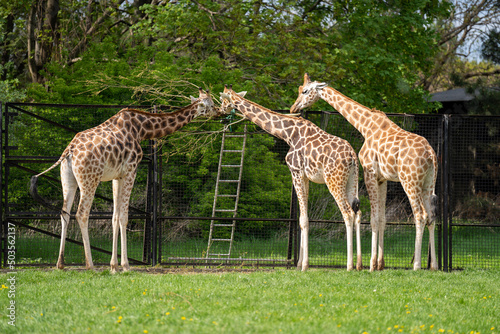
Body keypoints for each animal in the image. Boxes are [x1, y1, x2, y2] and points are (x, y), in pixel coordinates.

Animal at [30, 88, 218, 274]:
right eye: (210, 104)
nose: (219, 112)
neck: (142, 130)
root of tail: (69, 150)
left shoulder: (117, 176)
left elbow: (114, 217)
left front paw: (113, 266)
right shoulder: (130, 170)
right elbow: (124, 217)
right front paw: (126, 266)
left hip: (68, 179)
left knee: (64, 213)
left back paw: (60, 264)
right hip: (90, 179)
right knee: (82, 213)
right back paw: (91, 266)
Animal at [221, 84, 362, 272]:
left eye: (222, 100)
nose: (219, 112)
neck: (287, 133)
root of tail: (352, 156)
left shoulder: (295, 172)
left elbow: (303, 220)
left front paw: (304, 266)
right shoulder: (306, 177)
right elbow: (303, 219)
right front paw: (300, 263)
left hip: (334, 180)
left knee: (347, 213)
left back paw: (349, 265)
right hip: (352, 180)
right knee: (358, 211)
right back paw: (360, 264)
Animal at [290, 73, 438, 272]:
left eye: (305, 91)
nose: (293, 107)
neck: (366, 126)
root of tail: (430, 154)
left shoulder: (370, 173)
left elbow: (374, 219)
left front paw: (371, 266)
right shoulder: (383, 178)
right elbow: (382, 219)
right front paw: (380, 264)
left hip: (410, 180)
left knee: (420, 215)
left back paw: (416, 266)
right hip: (429, 182)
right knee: (431, 216)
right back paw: (434, 266)